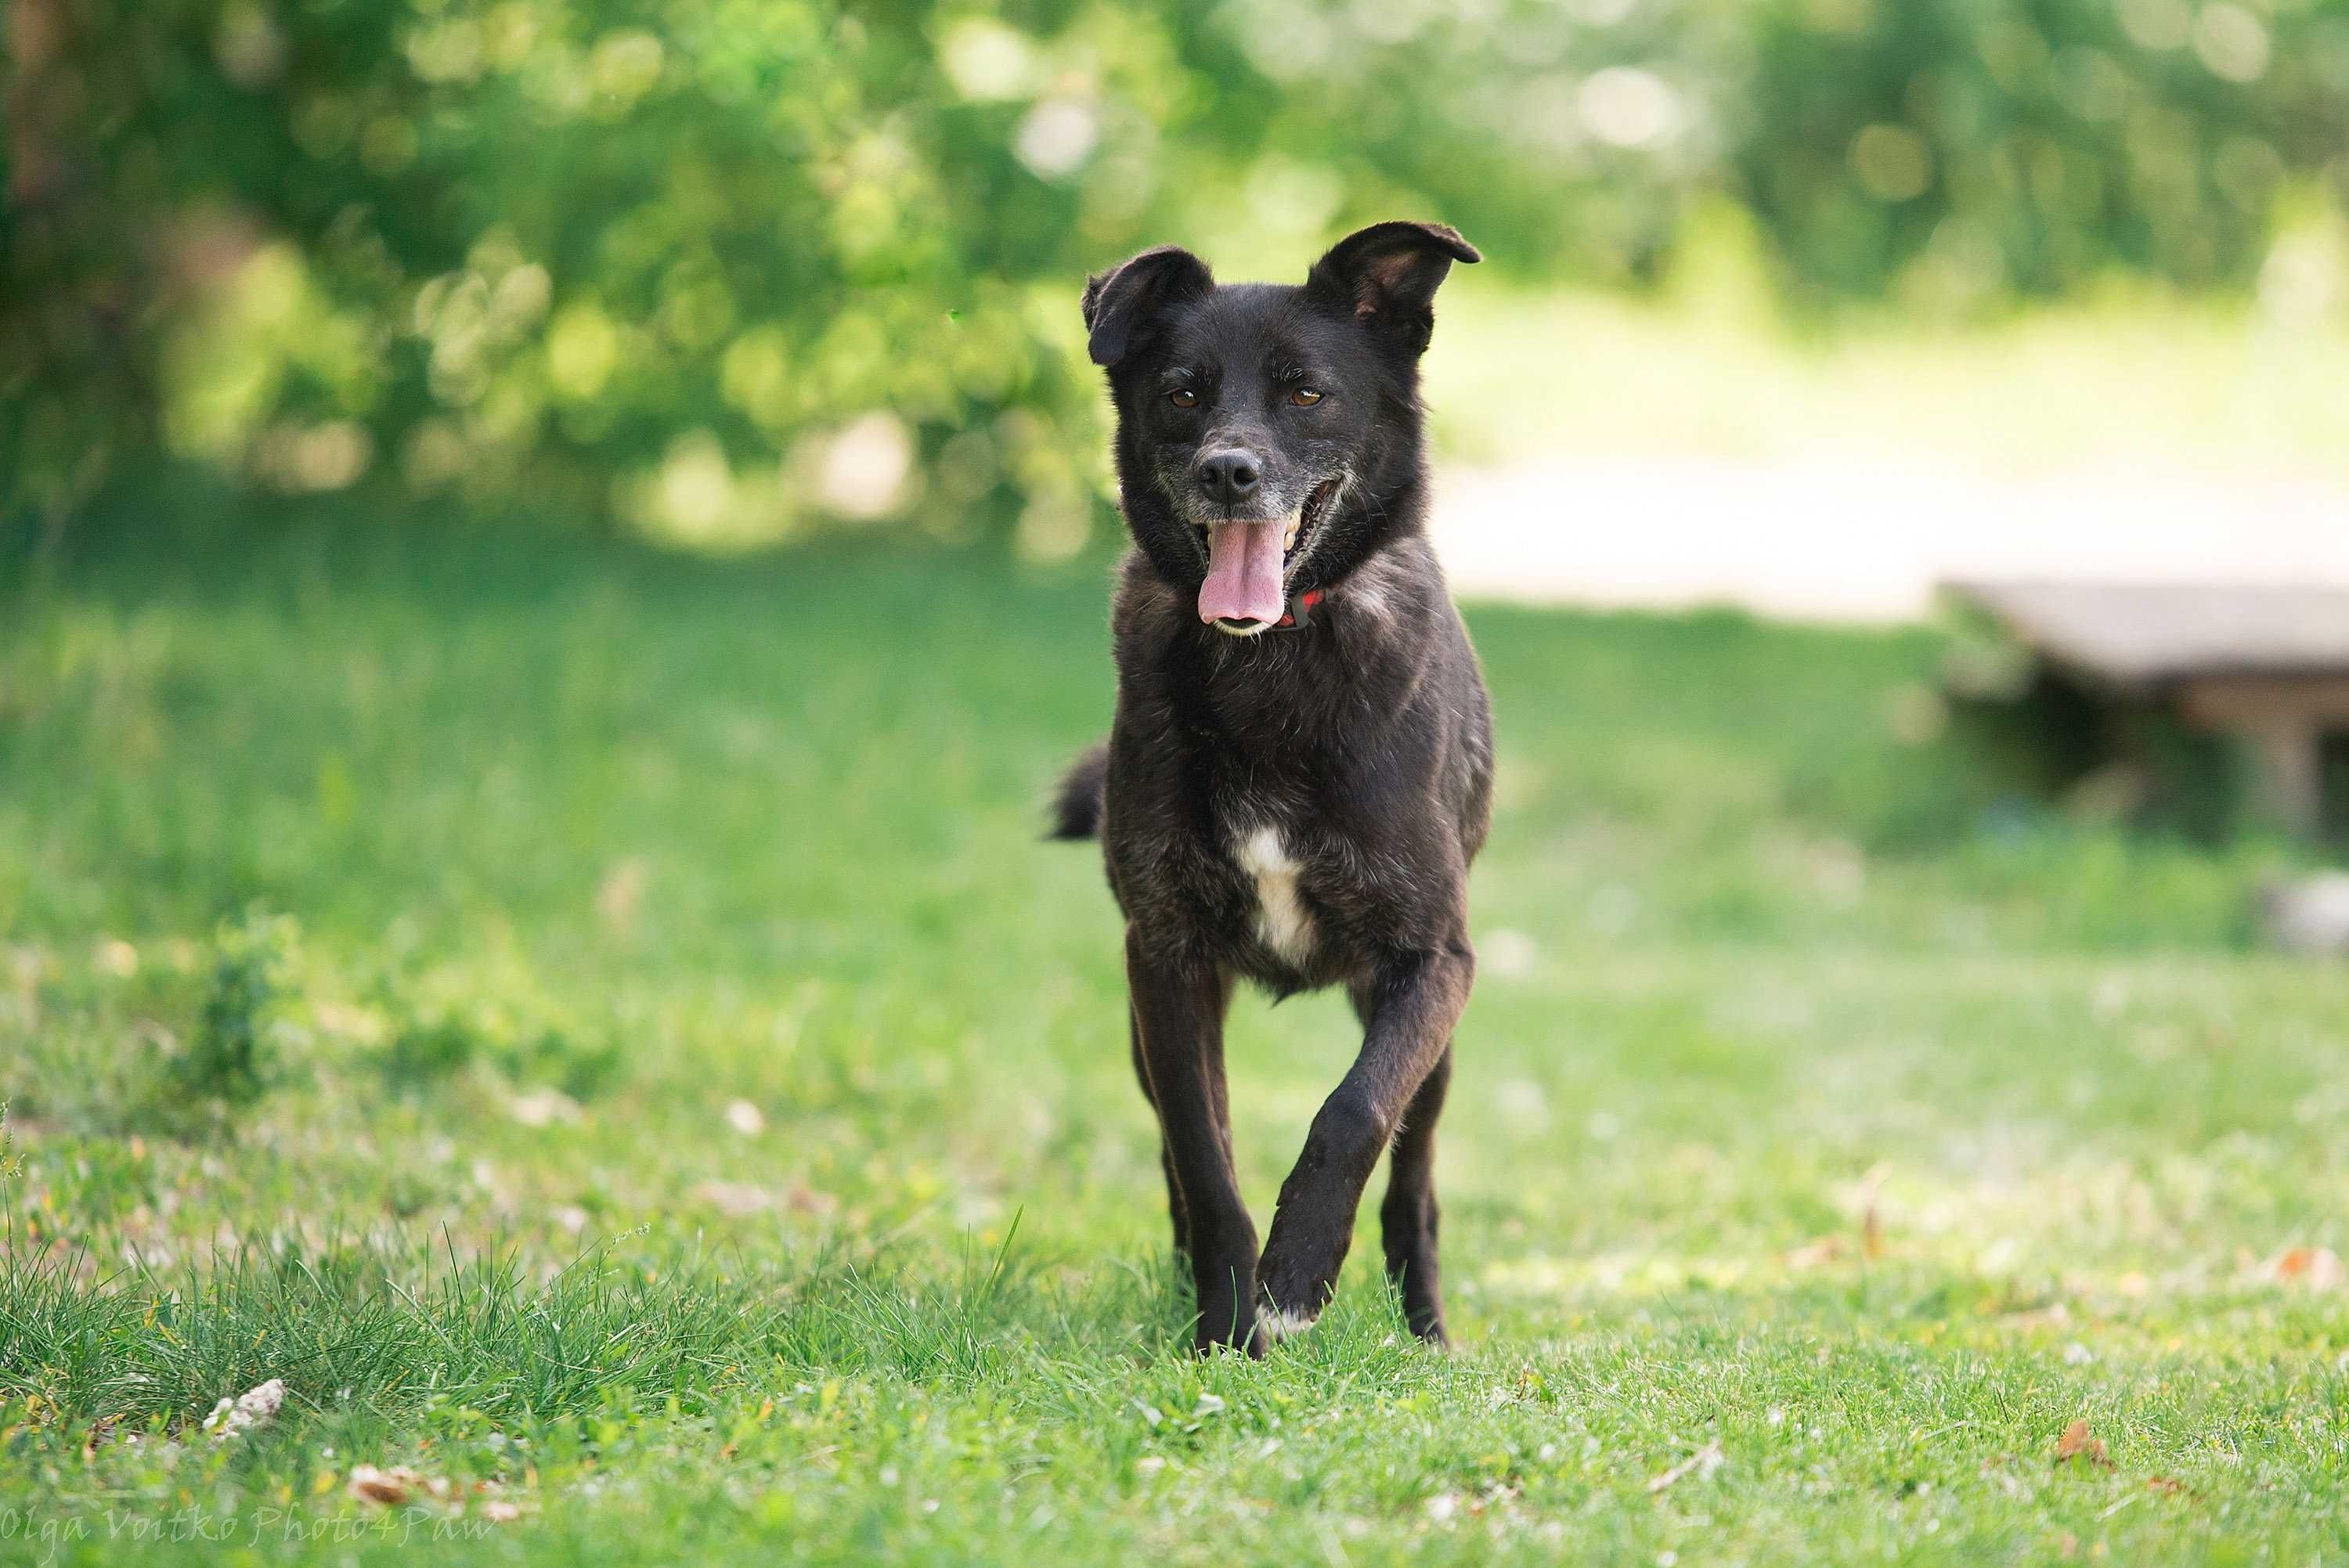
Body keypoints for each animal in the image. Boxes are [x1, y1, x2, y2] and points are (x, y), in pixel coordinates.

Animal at [1057, 222, 1494, 1361]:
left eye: (1306, 392)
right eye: (1180, 393)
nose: (1228, 470)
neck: (1270, 659)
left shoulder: (1431, 958)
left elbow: (1353, 1111)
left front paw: (1296, 1276)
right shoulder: (1164, 961)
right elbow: (1204, 1159)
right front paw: (1225, 1331)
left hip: (1436, 1046)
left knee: (1414, 1180)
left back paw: (1426, 1331)